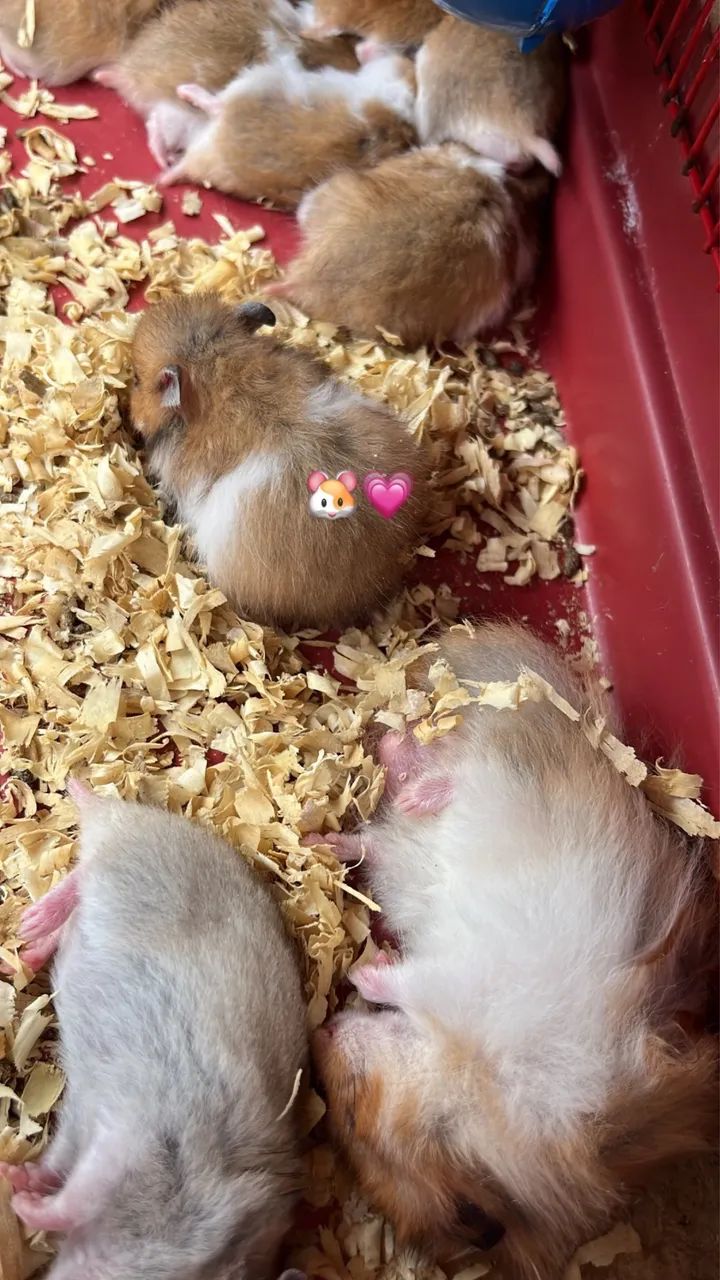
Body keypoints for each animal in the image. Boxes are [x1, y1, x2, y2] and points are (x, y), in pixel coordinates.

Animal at [0, 784, 308, 1280]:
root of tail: (120, 810)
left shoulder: (98, 1133)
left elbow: (60, 1176)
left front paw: (19, 1184)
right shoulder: (132, 1141)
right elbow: (75, 1196)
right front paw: (21, 1193)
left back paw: (28, 952)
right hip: (118, 863)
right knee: (82, 871)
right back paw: (33, 924)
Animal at [311, 624, 717, 1278]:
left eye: (348, 1115)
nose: (321, 1030)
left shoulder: (464, 990)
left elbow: (410, 983)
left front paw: (369, 970)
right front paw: (370, 966)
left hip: (474, 801)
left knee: (414, 797)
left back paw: (380, 793)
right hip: (465, 803)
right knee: (408, 799)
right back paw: (344, 818)